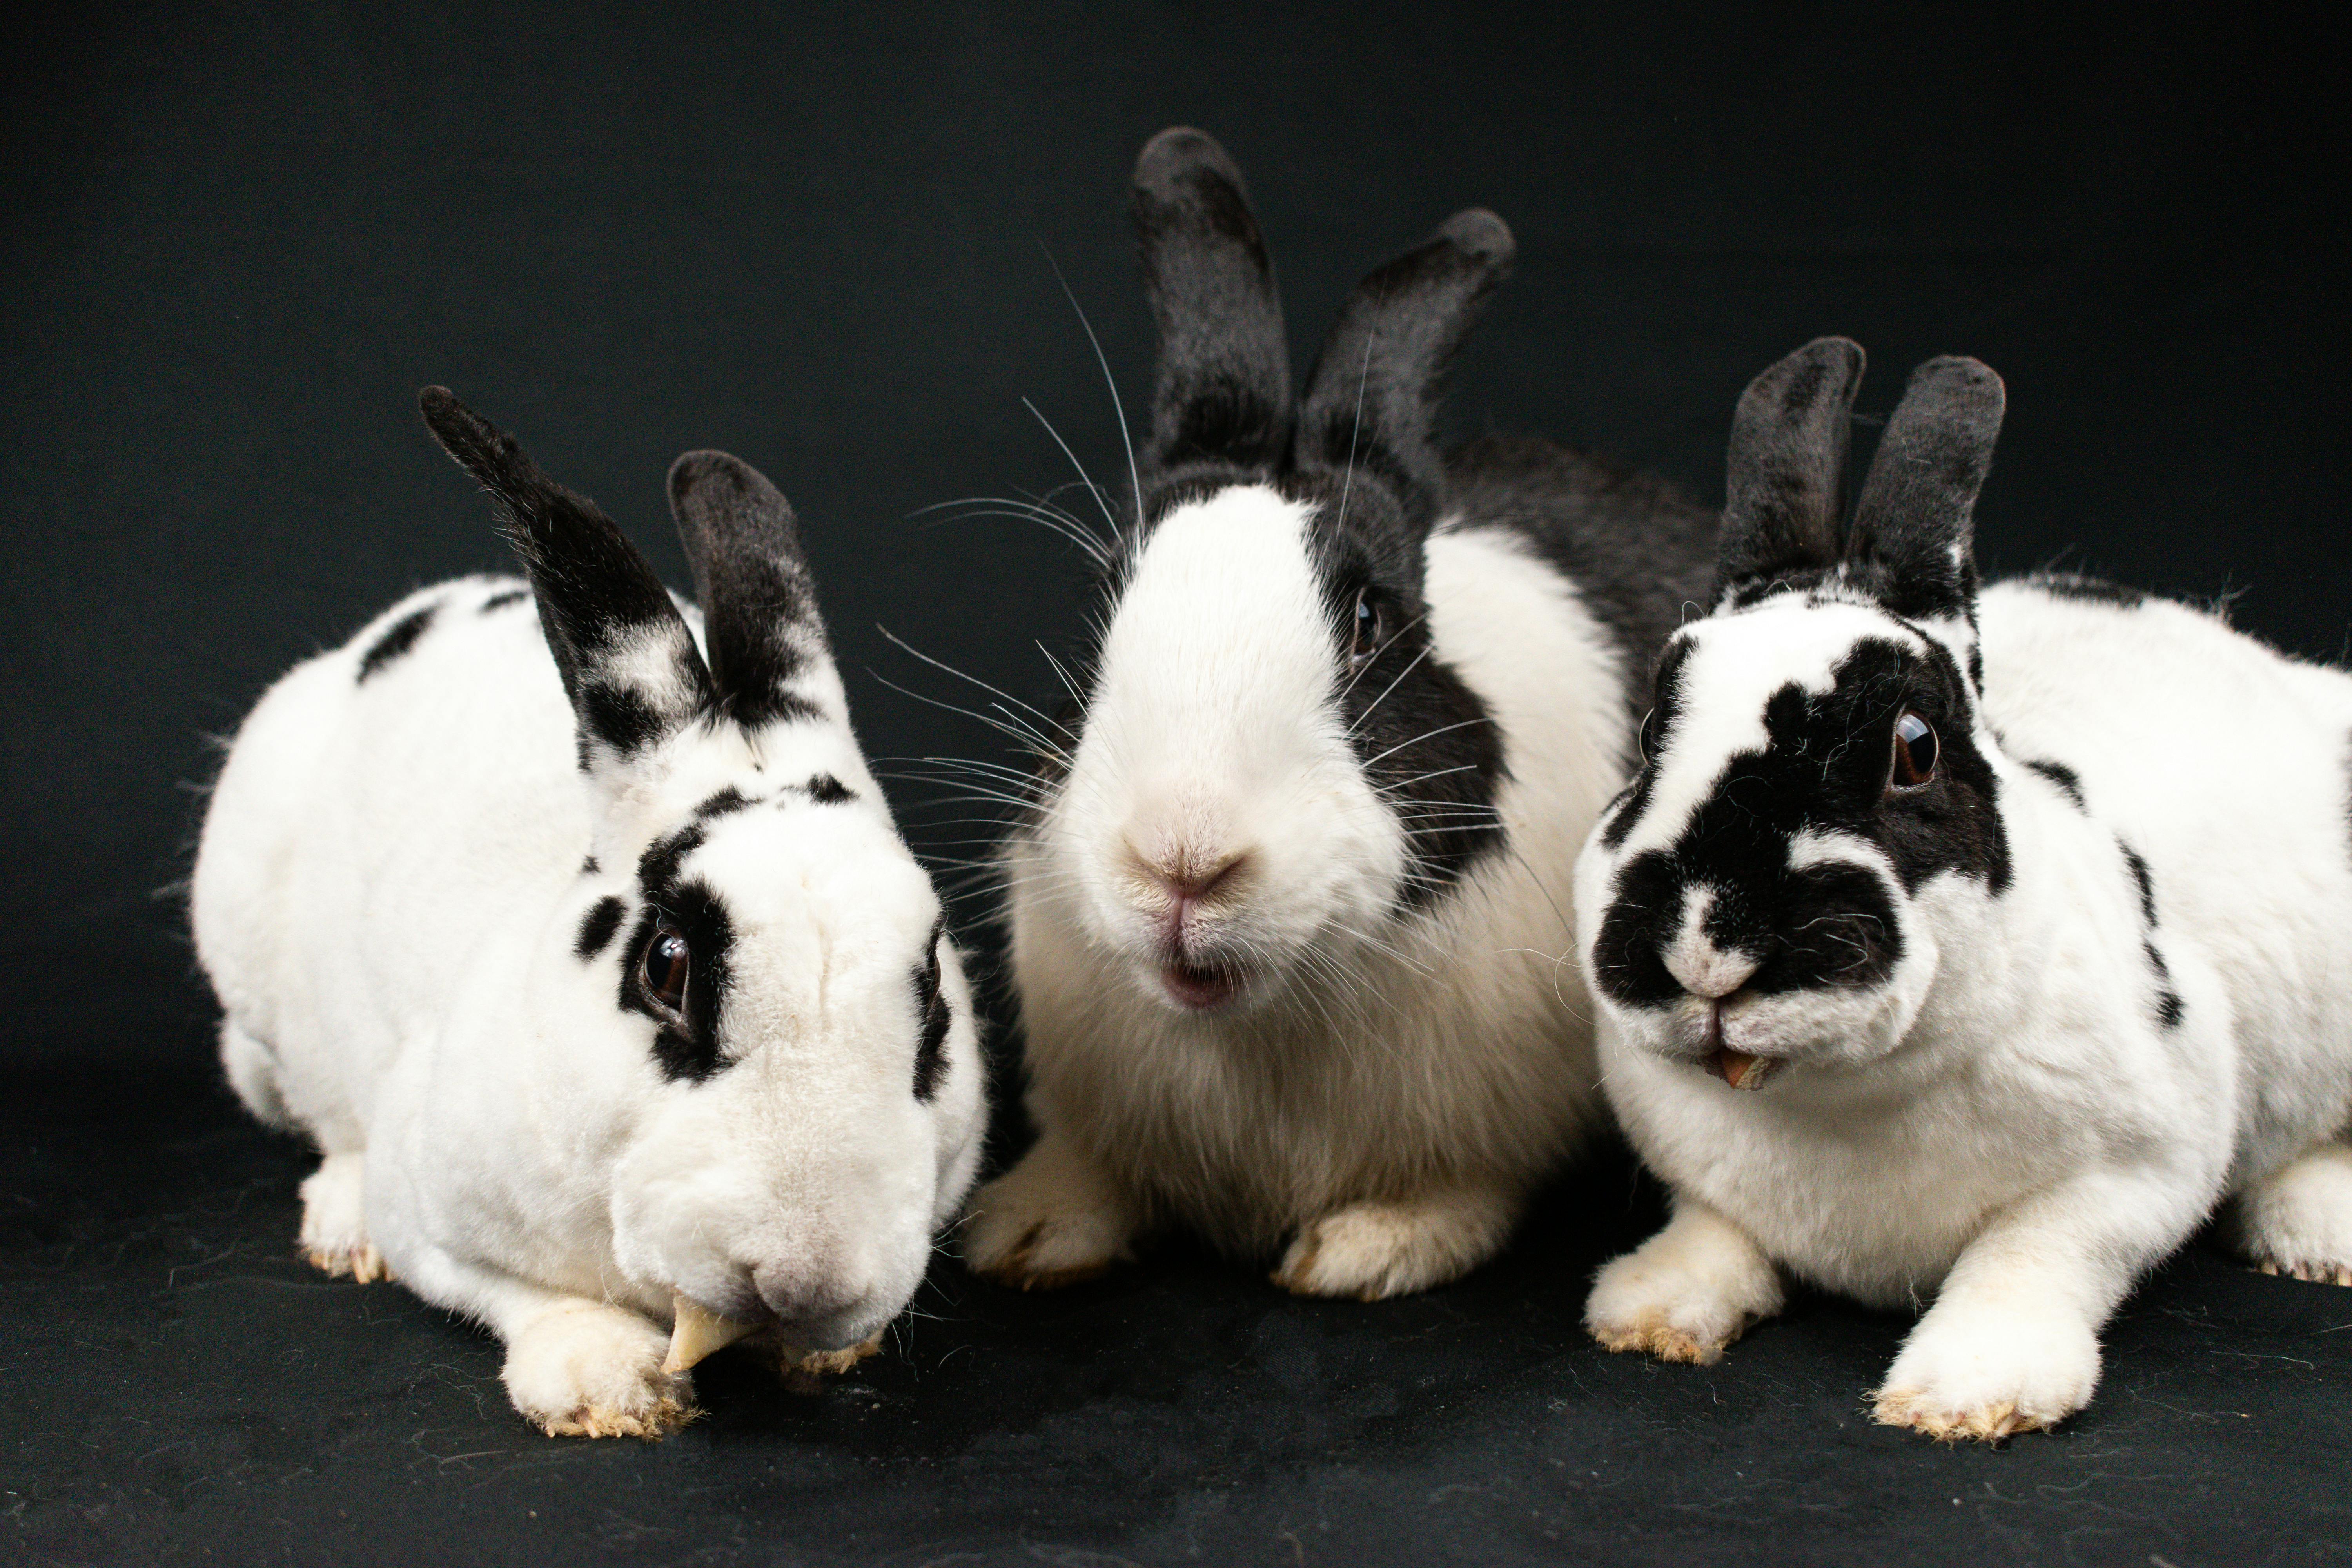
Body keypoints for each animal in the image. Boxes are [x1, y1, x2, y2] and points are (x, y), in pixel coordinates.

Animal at [188, 390, 983, 1439]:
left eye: (933, 991)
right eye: (665, 964)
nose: (805, 1276)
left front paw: (825, 1352)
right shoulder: (430, 1205)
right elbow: (507, 1286)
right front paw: (608, 1384)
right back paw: (341, 1226)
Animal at [964, 129, 1722, 1298]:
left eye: (1371, 621)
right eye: (1105, 601)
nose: (1182, 861)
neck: (1258, 1018)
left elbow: (1459, 1192)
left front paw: (1365, 1251)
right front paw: (1025, 1230)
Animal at [1571, 341, 2352, 1448]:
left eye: (1915, 748)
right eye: (1649, 735)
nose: (1703, 951)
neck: (1837, 1099)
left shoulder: (2137, 1171)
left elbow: (2031, 1255)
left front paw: (1968, 1392)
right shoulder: (1700, 1173)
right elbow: (1715, 1230)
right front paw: (1649, 1309)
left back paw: (2321, 1234)